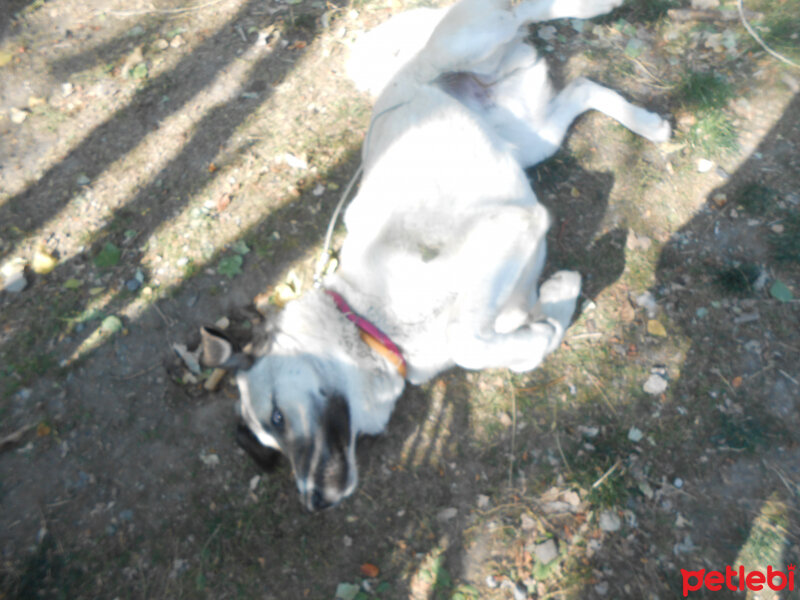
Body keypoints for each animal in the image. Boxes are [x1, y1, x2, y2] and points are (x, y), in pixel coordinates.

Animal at [203, 0, 672, 510]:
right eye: (270, 441)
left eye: (277, 419)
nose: (315, 502)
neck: (368, 322)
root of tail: (403, 69)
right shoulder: (515, 284)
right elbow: (523, 343)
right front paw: (553, 310)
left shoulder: (509, 227)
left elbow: (468, 342)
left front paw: (538, 327)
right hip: (533, 139)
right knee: (584, 86)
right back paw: (648, 123)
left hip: (471, 44)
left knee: (527, 11)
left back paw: (597, 8)